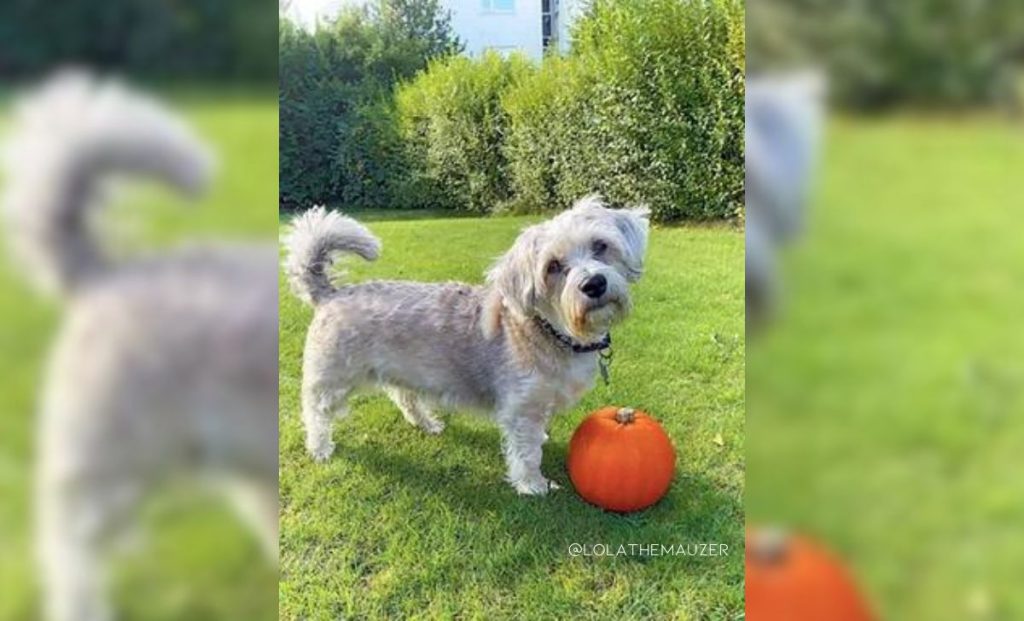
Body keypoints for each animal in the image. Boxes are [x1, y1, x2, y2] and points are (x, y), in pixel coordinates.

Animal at [282, 195, 647, 495]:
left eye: (600, 246)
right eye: (552, 267)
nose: (594, 283)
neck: (551, 332)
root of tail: (330, 294)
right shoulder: (521, 408)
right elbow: (527, 452)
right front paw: (533, 485)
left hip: (401, 370)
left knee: (404, 397)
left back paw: (426, 423)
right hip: (331, 380)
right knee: (315, 411)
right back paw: (319, 447)